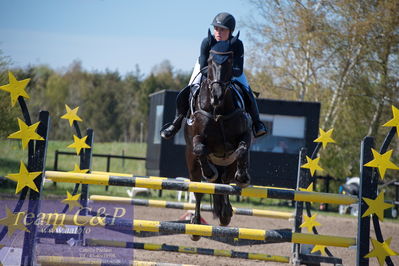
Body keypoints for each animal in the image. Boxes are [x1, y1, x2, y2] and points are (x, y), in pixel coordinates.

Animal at [185, 34, 253, 241]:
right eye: (209, 61)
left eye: (230, 60)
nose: (217, 96)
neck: (218, 111)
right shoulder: (197, 139)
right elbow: (200, 148)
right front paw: (209, 172)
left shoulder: (245, 136)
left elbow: (242, 150)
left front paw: (242, 177)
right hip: (191, 164)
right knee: (199, 190)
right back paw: (196, 226)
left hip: (227, 164)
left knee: (224, 183)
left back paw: (225, 214)